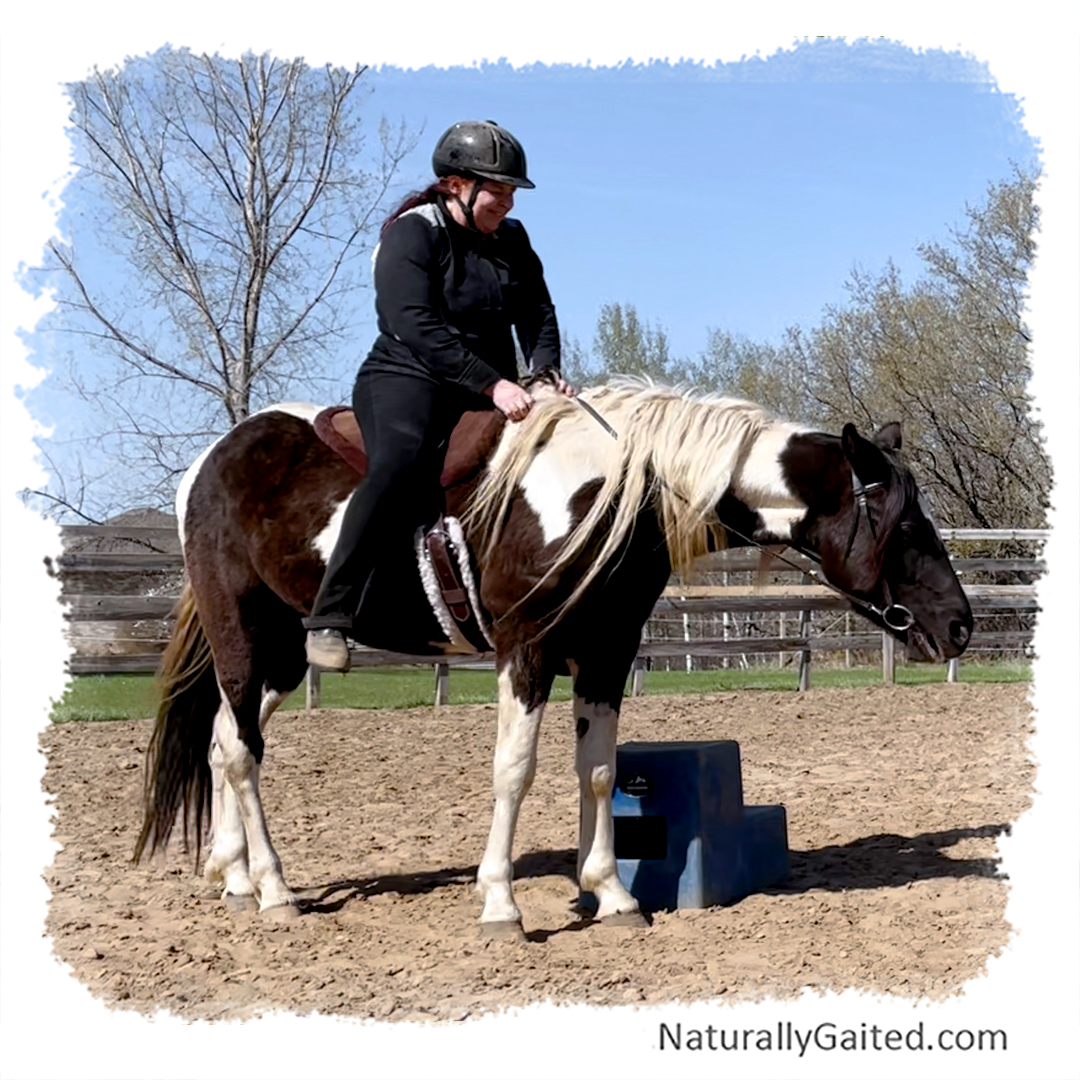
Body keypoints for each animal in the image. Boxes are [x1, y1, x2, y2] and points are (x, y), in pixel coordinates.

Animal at [134, 378, 972, 937]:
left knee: (225, 741)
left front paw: (613, 895)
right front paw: (502, 904)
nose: (960, 627)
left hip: (280, 653)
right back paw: (275, 891)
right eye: (904, 527)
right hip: (242, 634)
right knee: (243, 753)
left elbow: (598, 770)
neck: (613, 492)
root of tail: (215, 457)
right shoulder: (527, 650)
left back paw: (234, 876)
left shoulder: (605, 653)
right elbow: (515, 771)